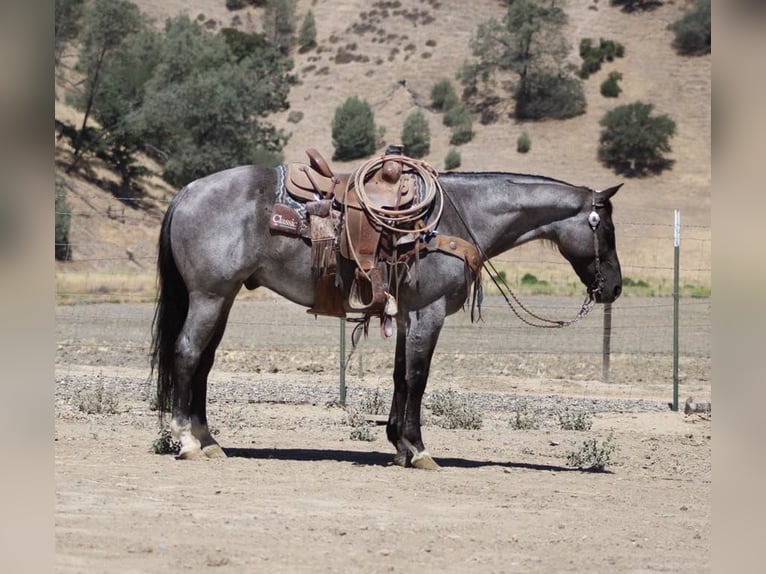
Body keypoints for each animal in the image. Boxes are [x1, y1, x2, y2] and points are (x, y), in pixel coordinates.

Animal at [151, 163, 622, 468]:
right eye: (607, 229)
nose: (614, 288)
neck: (459, 217)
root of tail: (187, 191)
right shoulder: (431, 313)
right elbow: (418, 377)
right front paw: (419, 449)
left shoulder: (409, 315)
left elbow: (400, 375)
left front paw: (398, 446)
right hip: (209, 296)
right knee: (188, 353)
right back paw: (187, 441)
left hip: (222, 298)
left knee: (204, 362)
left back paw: (210, 441)